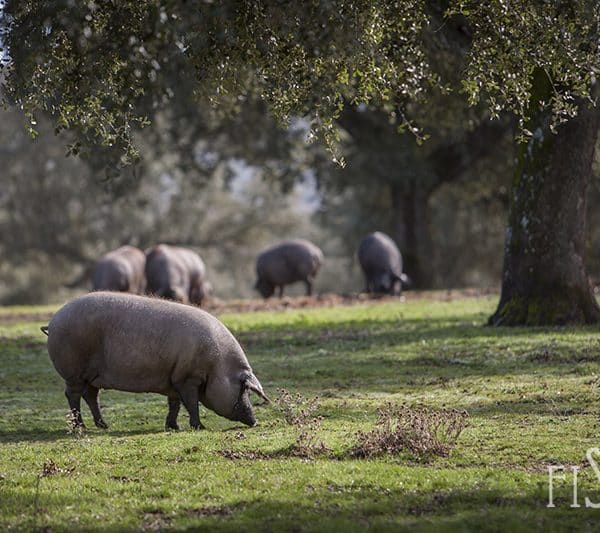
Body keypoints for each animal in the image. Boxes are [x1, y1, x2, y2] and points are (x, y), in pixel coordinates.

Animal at [42, 288, 268, 430]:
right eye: (244, 389)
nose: (255, 421)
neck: (217, 366)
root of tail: (53, 321)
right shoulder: (187, 378)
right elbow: (192, 403)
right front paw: (200, 427)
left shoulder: (174, 379)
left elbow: (175, 404)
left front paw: (173, 427)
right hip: (73, 371)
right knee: (73, 395)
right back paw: (80, 427)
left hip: (91, 375)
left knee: (91, 396)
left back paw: (104, 426)